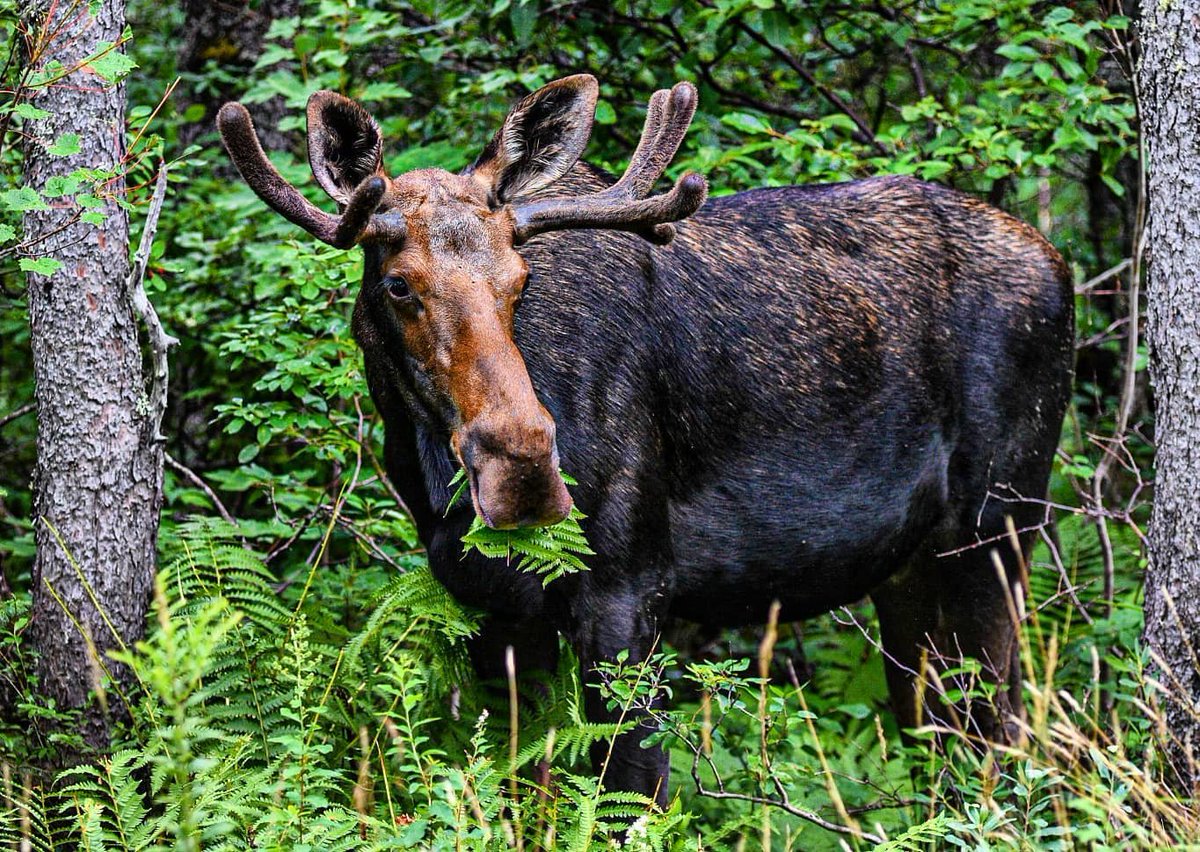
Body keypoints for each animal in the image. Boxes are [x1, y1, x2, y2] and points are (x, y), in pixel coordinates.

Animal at [218, 74, 1074, 805]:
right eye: (398, 284)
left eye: (520, 279)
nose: (523, 464)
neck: (426, 478)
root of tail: (1058, 264)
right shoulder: (488, 602)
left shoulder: (632, 583)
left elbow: (635, 792)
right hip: (911, 570)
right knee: (943, 732)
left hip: (997, 526)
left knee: (1002, 735)